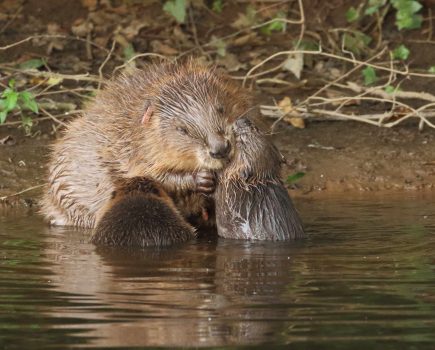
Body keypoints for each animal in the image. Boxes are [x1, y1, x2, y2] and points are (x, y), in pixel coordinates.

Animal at [41, 59, 252, 230]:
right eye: (182, 129)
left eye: (221, 108)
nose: (220, 149)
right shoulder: (132, 149)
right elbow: (152, 175)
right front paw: (202, 179)